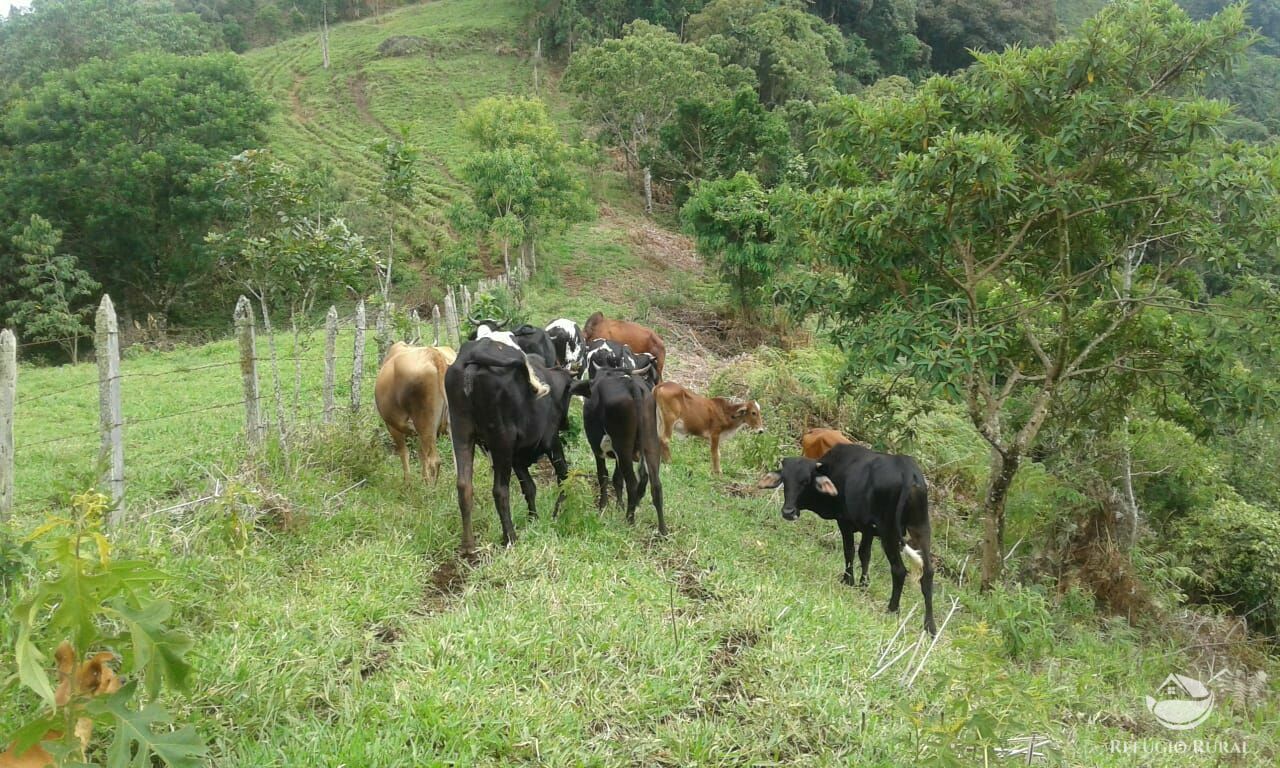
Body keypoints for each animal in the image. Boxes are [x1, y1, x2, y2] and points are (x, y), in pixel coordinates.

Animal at [373, 340, 458, 481]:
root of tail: (434, 354)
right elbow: (421, 453)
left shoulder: (392, 425)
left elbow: (404, 453)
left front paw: (408, 482)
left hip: (424, 421)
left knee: (434, 461)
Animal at [445, 337, 576, 552]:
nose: (566, 423)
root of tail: (472, 357)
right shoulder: (551, 442)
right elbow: (563, 477)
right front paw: (557, 514)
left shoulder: (517, 458)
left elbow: (529, 487)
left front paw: (533, 519)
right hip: (502, 441)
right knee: (500, 491)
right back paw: (510, 538)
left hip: (461, 432)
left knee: (464, 486)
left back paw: (469, 545)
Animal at [573, 363, 665, 535]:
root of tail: (632, 384)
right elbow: (617, 478)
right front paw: (619, 505)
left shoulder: (598, 449)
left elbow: (603, 475)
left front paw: (603, 506)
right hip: (650, 443)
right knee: (656, 485)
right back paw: (663, 531)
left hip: (623, 447)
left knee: (633, 483)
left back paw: (629, 520)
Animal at [752, 442, 936, 634]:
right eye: (785, 480)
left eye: (805, 481)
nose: (788, 512)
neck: (834, 469)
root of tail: (907, 470)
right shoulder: (868, 529)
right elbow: (864, 554)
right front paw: (863, 584)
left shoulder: (845, 522)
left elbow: (849, 551)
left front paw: (848, 580)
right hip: (921, 528)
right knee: (928, 573)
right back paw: (930, 626)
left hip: (889, 532)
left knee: (899, 570)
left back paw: (892, 609)